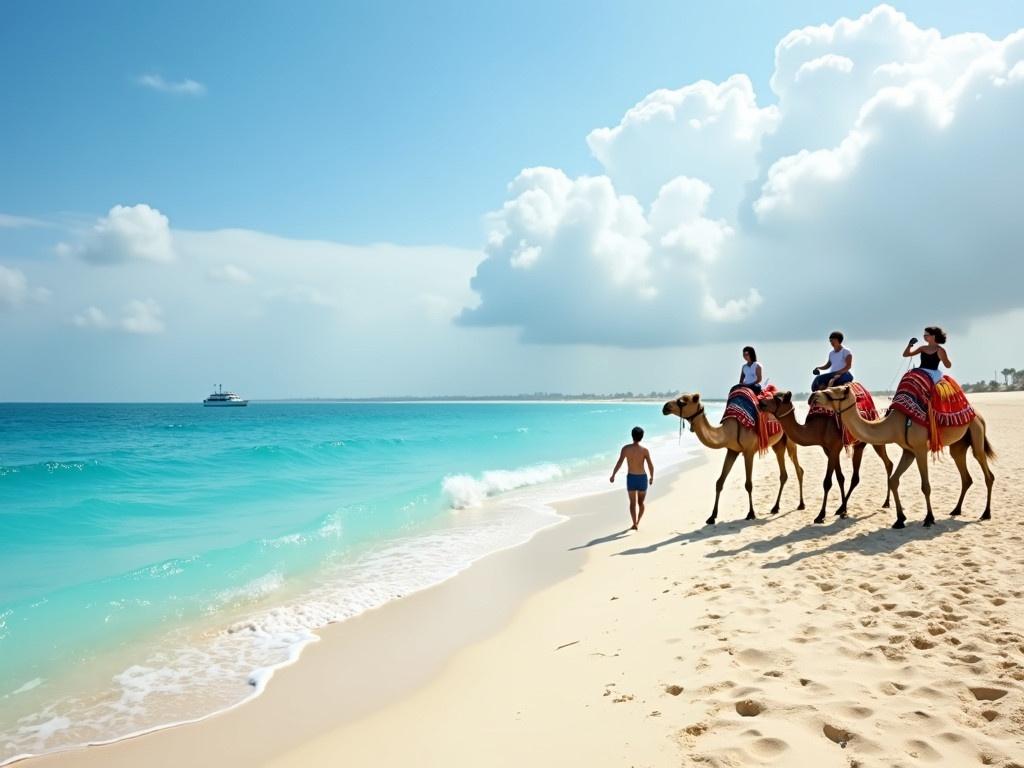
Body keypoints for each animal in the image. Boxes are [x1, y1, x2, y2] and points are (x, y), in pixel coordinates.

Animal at [659, 393, 802, 528]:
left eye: (682, 402)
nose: (665, 407)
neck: (730, 431)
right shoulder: (732, 451)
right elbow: (719, 482)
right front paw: (712, 517)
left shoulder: (749, 451)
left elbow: (748, 484)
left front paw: (751, 513)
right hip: (778, 444)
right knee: (783, 473)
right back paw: (775, 507)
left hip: (790, 439)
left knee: (798, 469)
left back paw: (801, 504)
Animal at [757, 391, 892, 524]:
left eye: (777, 399)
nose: (761, 402)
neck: (818, 428)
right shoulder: (828, 449)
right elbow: (840, 477)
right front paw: (841, 510)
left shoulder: (834, 447)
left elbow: (827, 482)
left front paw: (821, 515)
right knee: (887, 464)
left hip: (869, 439)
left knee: (861, 475)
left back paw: (884, 502)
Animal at [806, 385, 991, 528]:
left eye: (837, 391)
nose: (813, 396)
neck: (894, 425)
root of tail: (978, 414)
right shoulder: (908, 451)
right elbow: (894, 480)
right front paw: (900, 519)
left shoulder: (920, 449)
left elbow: (925, 486)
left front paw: (929, 518)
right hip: (958, 445)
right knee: (966, 476)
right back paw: (956, 510)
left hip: (977, 432)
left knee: (987, 472)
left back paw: (986, 513)